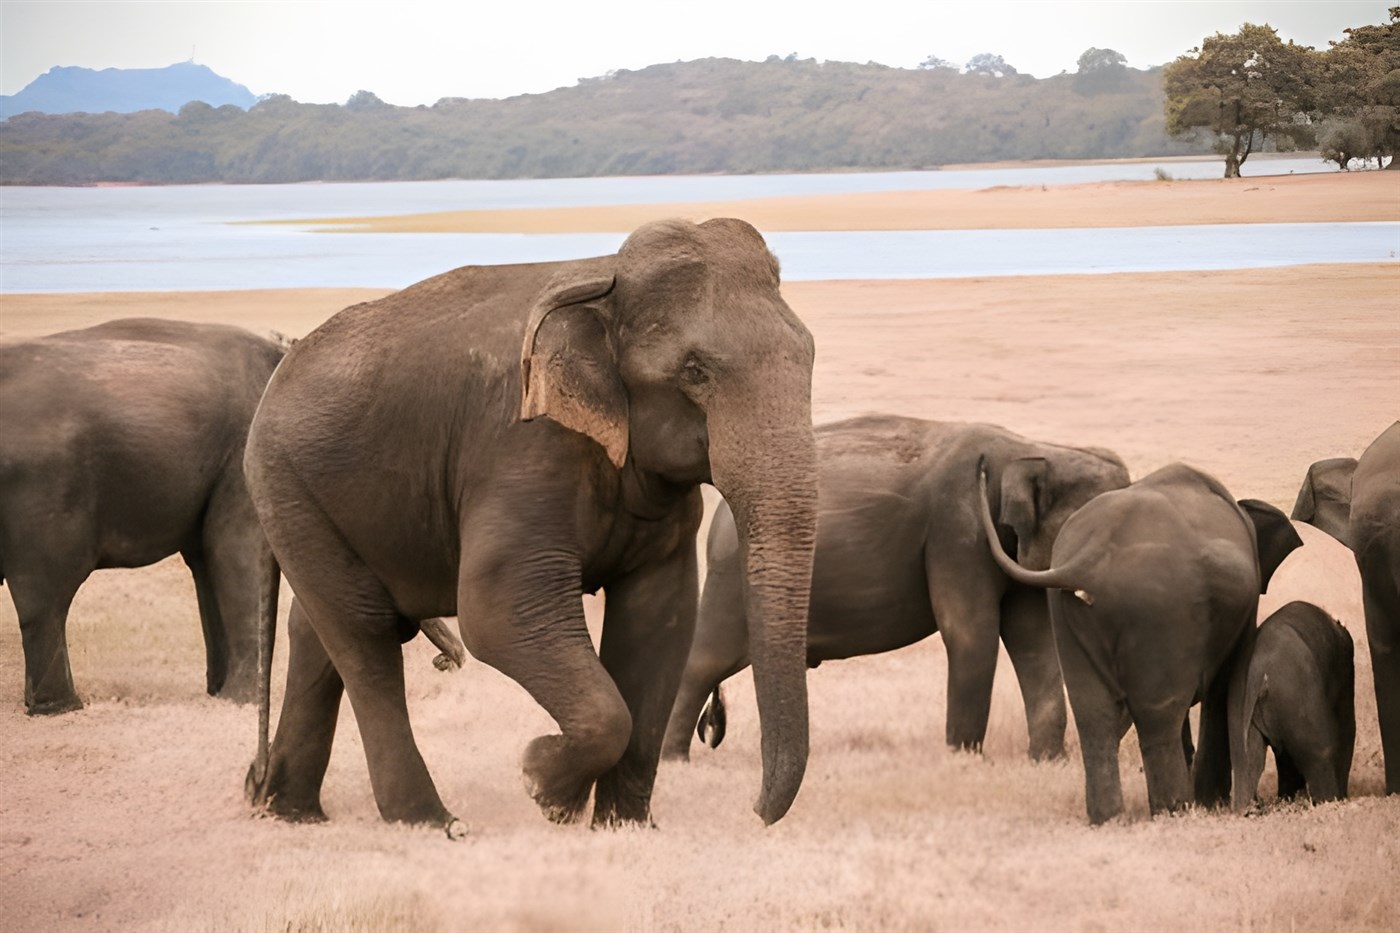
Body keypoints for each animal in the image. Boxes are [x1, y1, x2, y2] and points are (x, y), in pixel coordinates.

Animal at [0, 317, 288, 714]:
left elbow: (207, 560)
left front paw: (218, 696)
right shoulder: (245, 454)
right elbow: (235, 553)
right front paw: (239, 703)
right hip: (43, 492)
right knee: (46, 594)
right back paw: (61, 708)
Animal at [242, 218, 819, 836]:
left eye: (810, 355)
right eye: (695, 371)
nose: (754, 813)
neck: (607, 280)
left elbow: (658, 619)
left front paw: (624, 827)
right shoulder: (522, 448)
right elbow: (497, 613)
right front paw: (544, 787)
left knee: (317, 630)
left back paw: (289, 812)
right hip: (285, 482)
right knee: (364, 633)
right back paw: (433, 823)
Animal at [661, 416, 1130, 763]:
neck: (1037, 448)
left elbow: (1034, 641)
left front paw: (1047, 762)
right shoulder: (956, 529)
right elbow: (970, 632)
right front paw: (963, 762)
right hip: (731, 579)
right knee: (704, 661)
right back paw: (672, 760)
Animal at [978, 461, 1302, 823]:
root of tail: (1092, 556)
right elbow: (1226, 686)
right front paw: (1213, 803)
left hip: (1066, 609)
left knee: (1093, 713)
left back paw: (1110, 818)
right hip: (1159, 609)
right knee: (1159, 714)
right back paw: (1174, 810)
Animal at [1231, 600, 1354, 809]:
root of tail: (1259, 672)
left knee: (1245, 762)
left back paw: (1250, 809)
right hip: (1298, 696)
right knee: (1321, 753)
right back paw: (1329, 801)